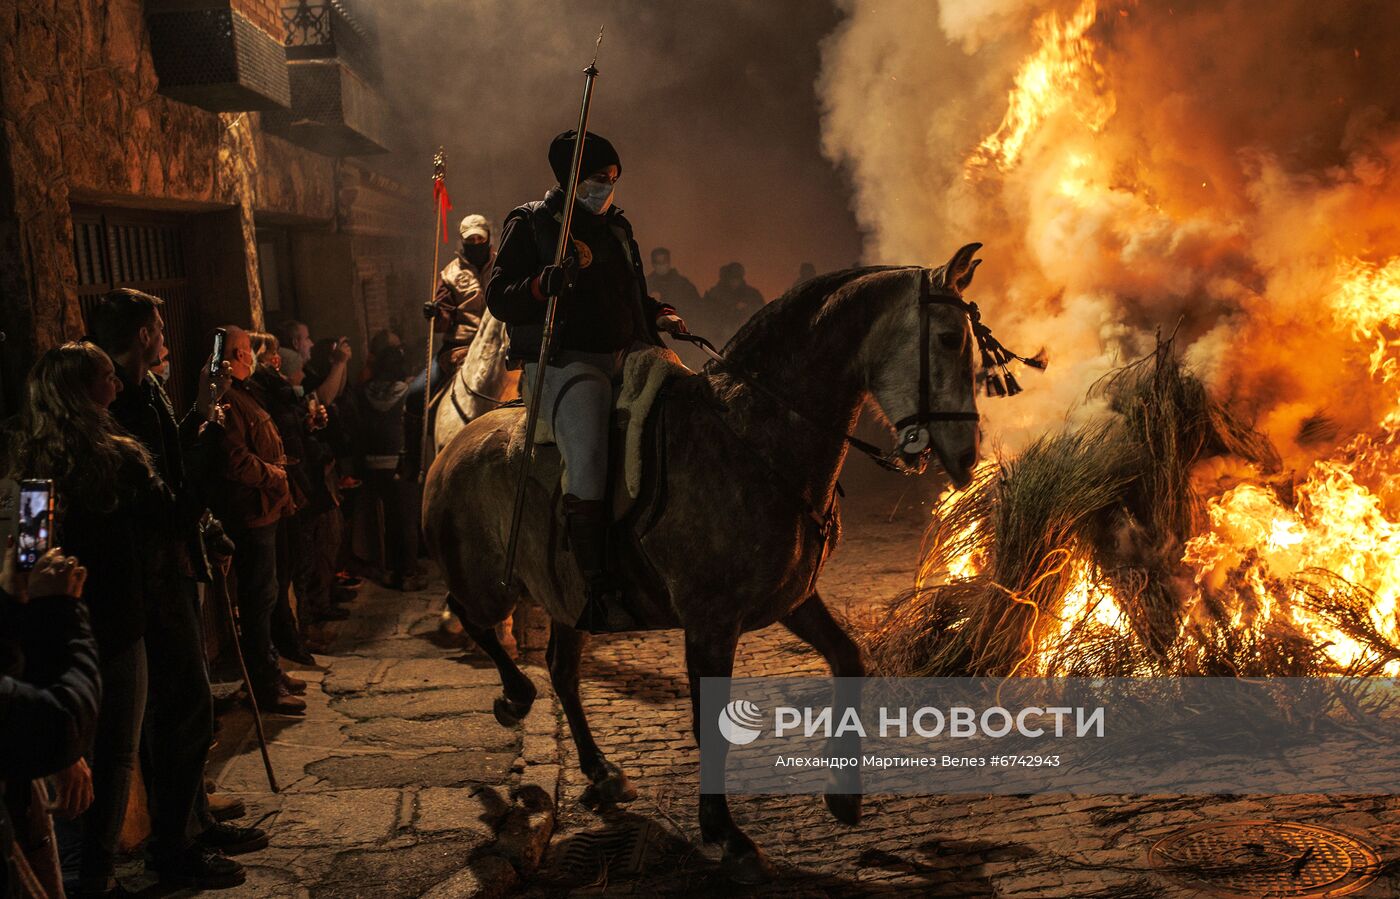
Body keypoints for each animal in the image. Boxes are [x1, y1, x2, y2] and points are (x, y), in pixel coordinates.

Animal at [425, 246, 985, 884]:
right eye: (947, 339)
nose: (966, 456)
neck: (753, 440)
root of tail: (453, 442)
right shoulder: (710, 622)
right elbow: (707, 722)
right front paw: (727, 834)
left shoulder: (790, 600)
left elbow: (849, 660)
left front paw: (843, 796)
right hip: (491, 584)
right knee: (472, 617)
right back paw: (514, 695)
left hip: (567, 600)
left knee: (562, 670)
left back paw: (599, 770)